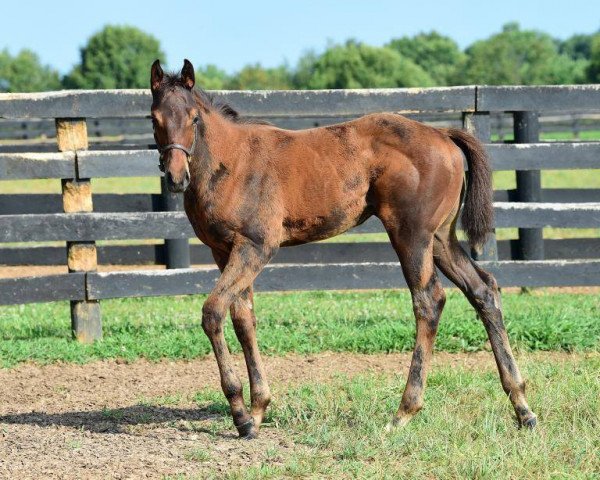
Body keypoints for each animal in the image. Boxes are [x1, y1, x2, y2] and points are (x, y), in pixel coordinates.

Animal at [151, 59, 540, 438]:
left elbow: (213, 312)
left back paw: (404, 412)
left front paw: (241, 416)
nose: (176, 177)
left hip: (411, 235)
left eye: (194, 118)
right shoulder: (225, 251)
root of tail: (444, 135)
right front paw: (258, 409)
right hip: (441, 238)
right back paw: (523, 408)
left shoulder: (256, 247)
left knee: (429, 300)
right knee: (483, 289)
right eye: (154, 119)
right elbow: (244, 318)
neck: (231, 162)